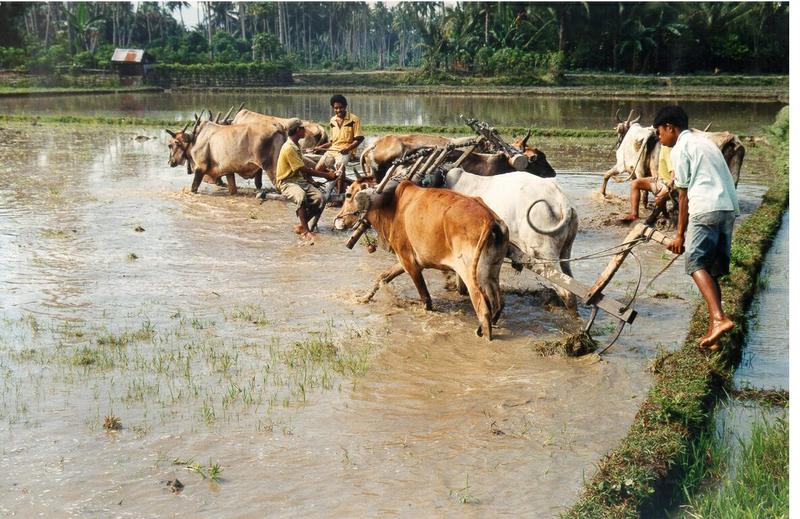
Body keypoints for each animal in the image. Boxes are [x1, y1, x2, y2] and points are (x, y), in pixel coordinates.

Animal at [334, 180, 510, 342]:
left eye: (348, 195)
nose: (337, 220)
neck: (392, 206)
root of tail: (491, 220)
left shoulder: (409, 262)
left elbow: (426, 299)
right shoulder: (405, 260)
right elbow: (381, 277)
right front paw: (364, 298)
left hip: (469, 274)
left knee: (483, 309)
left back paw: (485, 336)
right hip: (490, 273)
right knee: (499, 304)